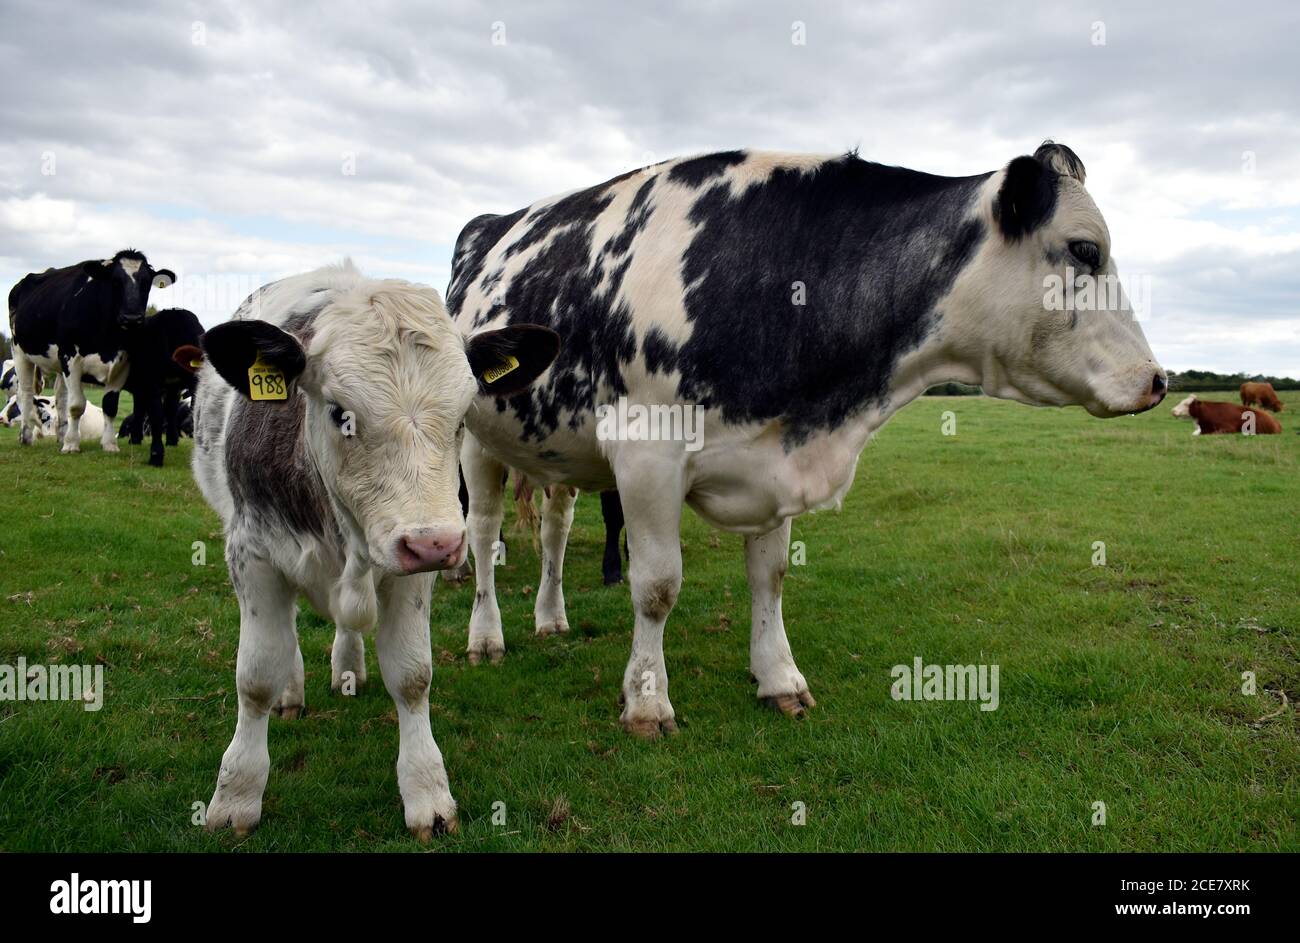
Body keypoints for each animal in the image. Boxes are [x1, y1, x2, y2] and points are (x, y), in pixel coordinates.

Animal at [5, 248, 175, 455]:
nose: (132, 318)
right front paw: (71, 444)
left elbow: (110, 406)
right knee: (26, 394)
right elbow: (76, 405)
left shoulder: (123, 362)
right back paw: (26, 437)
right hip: (20, 352)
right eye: (115, 281)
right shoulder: (71, 358)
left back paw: (61, 435)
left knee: (60, 397)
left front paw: (109, 444)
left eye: (146, 282)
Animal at [192, 262, 559, 837]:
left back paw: (349, 665)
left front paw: (427, 792)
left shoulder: (413, 569)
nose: (435, 543)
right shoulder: (252, 556)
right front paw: (236, 796)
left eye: (462, 416)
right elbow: (255, 678)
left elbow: (412, 676)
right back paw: (292, 692)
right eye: (340, 413)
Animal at [447, 143, 1170, 738]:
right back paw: (486, 636)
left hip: (556, 451)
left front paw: (779, 680)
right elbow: (656, 585)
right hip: (474, 441)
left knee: (554, 532)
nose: (1159, 380)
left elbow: (770, 576)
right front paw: (648, 703)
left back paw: (550, 616)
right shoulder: (647, 452)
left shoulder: (775, 453)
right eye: (1084, 249)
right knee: (482, 534)